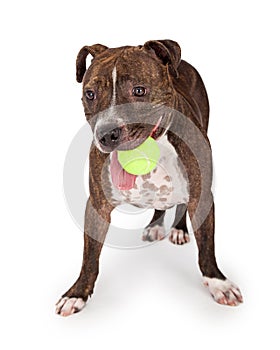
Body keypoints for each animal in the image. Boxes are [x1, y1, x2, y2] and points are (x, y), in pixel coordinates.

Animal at [55, 39, 243, 316]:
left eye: (139, 90)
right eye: (90, 94)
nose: (106, 134)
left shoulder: (202, 196)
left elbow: (207, 247)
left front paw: (218, 283)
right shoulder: (97, 206)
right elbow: (89, 256)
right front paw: (77, 293)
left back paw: (178, 229)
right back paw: (156, 225)